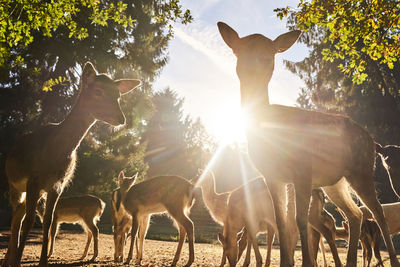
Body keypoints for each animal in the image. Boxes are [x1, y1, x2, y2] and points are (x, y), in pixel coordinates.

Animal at [2, 62, 141, 267]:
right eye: (98, 91)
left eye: (118, 95)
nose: (121, 118)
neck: (56, 152)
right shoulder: (34, 179)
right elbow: (29, 221)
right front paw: (19, 261)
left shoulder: (57, 185)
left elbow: (48, 221)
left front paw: (43, 262)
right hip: (15, 185)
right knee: (16, 218)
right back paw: (10, 259)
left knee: (18, 216)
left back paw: (8, 259)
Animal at [217, 21, 398, 267]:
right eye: (239, 50)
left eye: (270, 53)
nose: (254, 67)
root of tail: (372, 140)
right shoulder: (272, 176)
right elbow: (281, 222)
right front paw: (286, 262)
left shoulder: (302, 169)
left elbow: (299, 220)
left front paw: (305, 263)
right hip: (335, 182)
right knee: (355, 214)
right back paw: (350, 261)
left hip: (361, 170)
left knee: (378, 213)